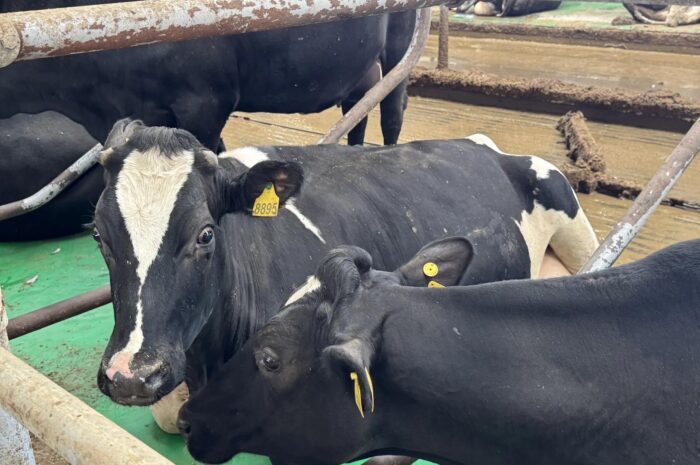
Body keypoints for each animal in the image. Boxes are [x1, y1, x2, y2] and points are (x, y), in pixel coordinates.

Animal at [91, 120, 598, 428]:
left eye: (205, 235)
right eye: (98, 234)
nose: (132, 375)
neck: (205, 361)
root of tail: (477, 142)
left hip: (574, 221)